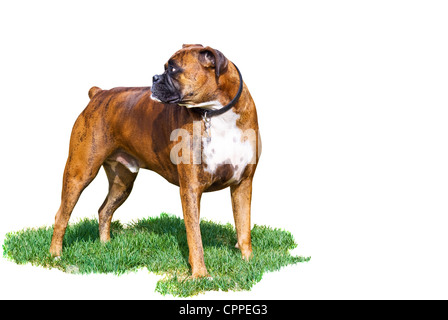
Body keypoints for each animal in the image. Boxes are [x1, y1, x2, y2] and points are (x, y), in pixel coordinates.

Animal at [49, 43, 260, 278]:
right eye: (165, 67)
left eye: (174, 69)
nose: (155, 77)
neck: (216, 113)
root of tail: (99, 93)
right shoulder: (191, 189)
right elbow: (195, 237)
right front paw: (200, 275)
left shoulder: (243, 183)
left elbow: (244, 227)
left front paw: (249, 262)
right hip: (80, 173)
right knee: (61, 215)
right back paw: (56, 254)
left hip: (122, 182)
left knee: (104, 210)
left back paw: (106, 246)